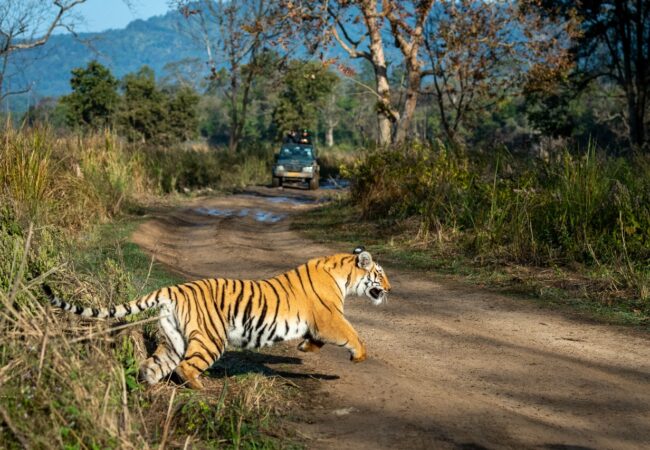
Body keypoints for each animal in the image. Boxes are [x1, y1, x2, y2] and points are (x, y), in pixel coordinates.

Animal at [45, 248, 392, 388]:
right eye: (380, 274)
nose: (390, 288)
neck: (344, 275)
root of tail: (173, 288)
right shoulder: (329, 317)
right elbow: (352, 333)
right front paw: (359, 356)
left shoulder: (319, 323)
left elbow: (317, 340)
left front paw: (305, 349)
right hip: (211, 338)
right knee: (186, 367)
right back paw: (200, 389)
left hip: (173, 338)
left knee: (153, 365)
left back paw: (150, 388)